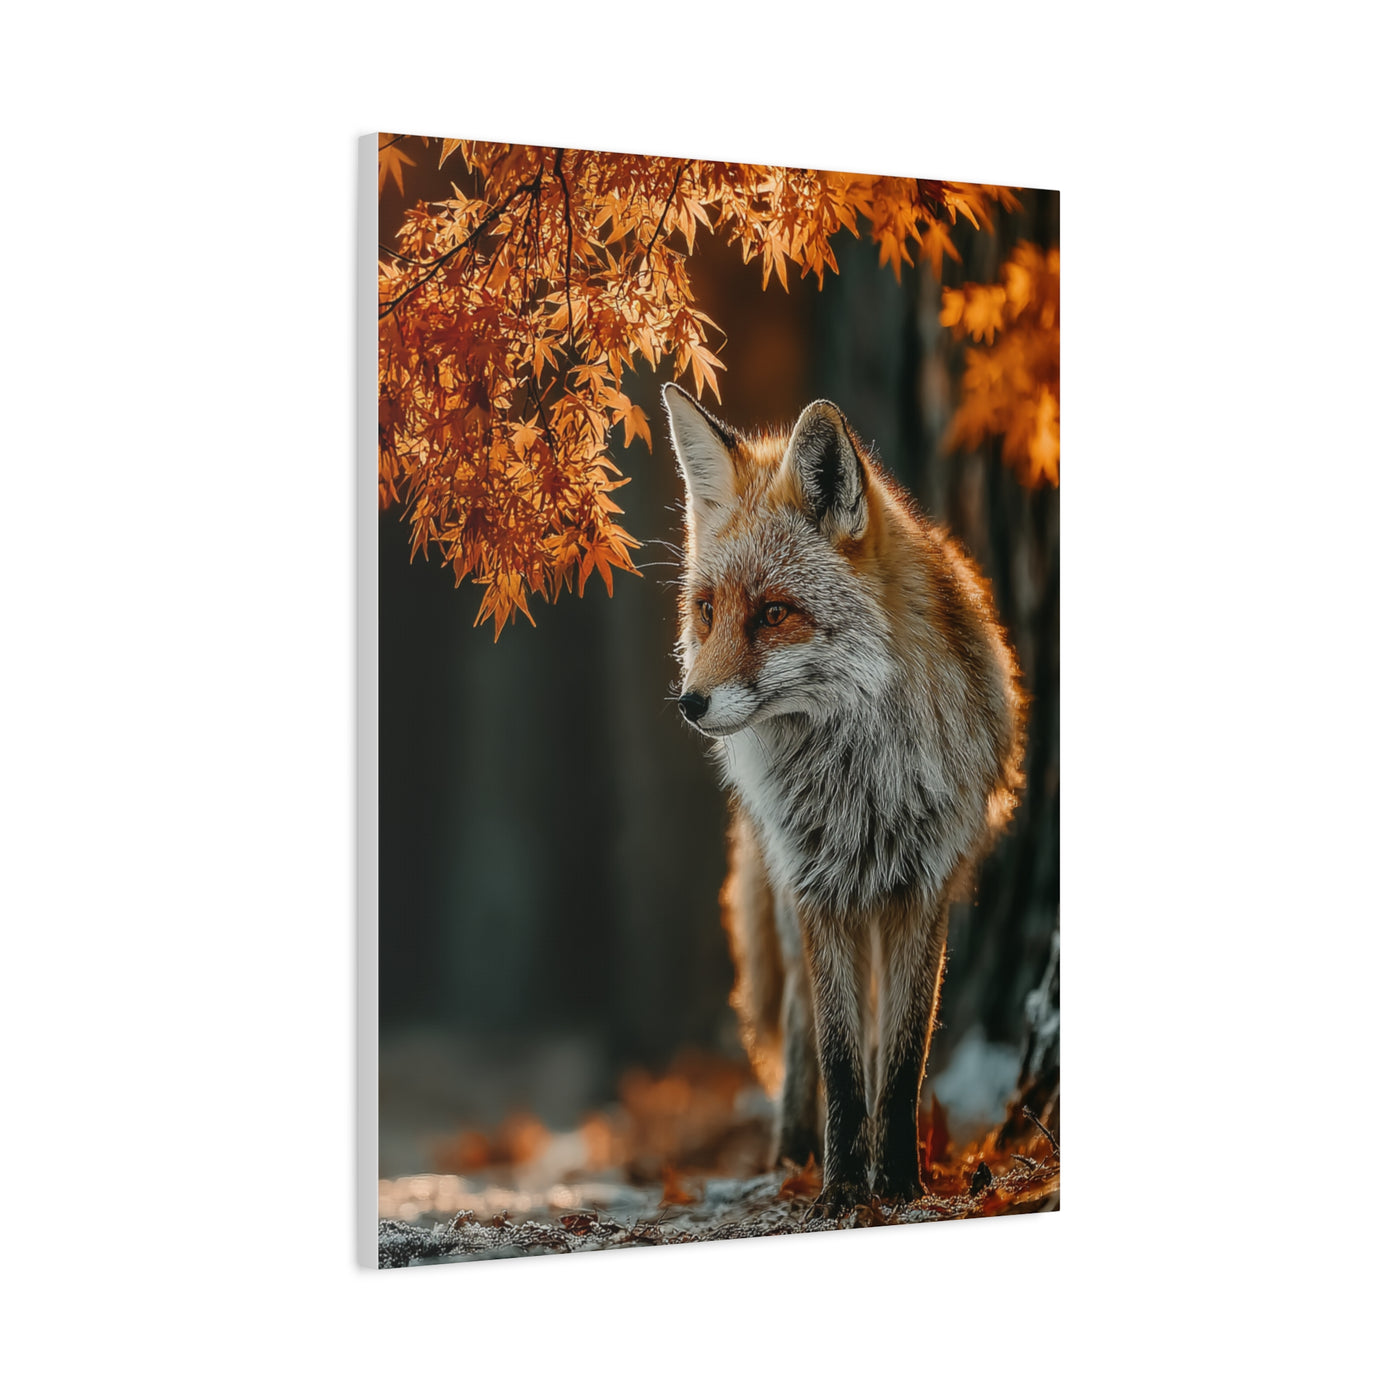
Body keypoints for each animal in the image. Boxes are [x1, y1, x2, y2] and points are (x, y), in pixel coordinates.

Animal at [661, 381, 1026, 1210]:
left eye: (773, 613)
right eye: (708, 611)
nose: (690, 704)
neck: (859, 786)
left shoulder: (923, 887)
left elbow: (902, 1056)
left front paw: (898, 1184)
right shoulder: (819, 889)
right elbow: (836, 1053)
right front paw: (840, 1190)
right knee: (801, 1024)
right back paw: (794, 1151)